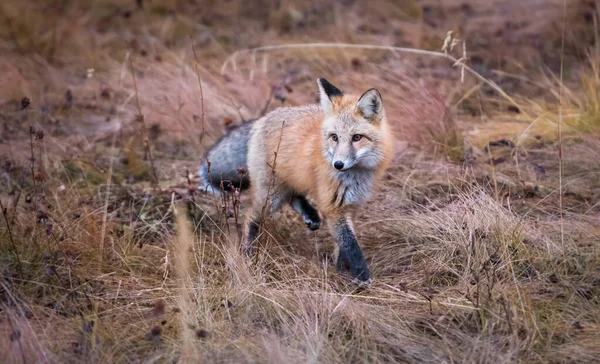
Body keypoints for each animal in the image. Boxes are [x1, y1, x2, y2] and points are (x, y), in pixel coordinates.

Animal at [200, 79, 394, 284]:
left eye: (357, 137)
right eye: (334, 137)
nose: (338, 164)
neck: (354, 177)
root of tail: (262, 119)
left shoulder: (351, 205)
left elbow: (343, 242)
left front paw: (342, 269)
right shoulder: (333, 206)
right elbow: (349, 243)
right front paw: (361, 274)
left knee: (293, 195)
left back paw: (310, 216)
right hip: (270, 197)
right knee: (250, 217)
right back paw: (248, 253)